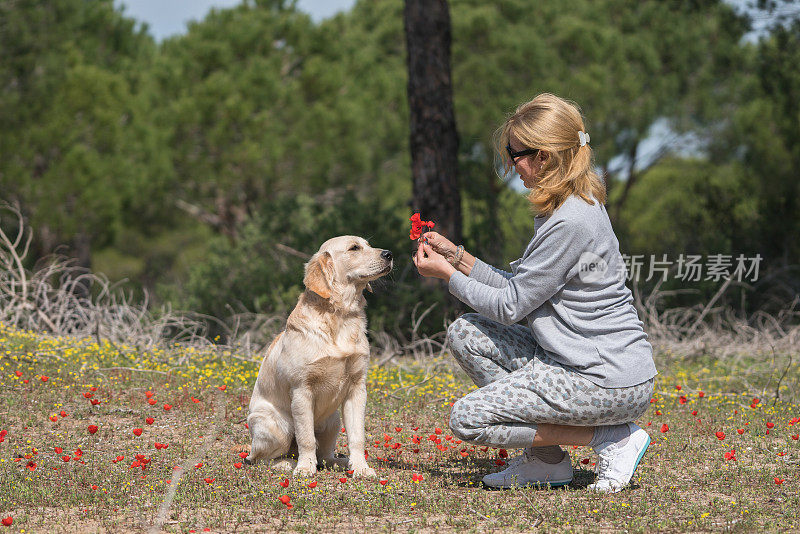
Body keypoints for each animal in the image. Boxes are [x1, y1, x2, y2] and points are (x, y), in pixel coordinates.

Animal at [245, 237, 392, 480]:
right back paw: (288, 463)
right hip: (276, 426)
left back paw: (341, 462)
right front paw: (305, 468)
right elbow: (305, 438)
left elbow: (357, 437)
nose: (389, 254)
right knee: (260, 459)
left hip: (333, 421)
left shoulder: (357, 389)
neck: (341, 315)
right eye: (354, 248)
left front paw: (361, 468)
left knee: (325, 456)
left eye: (368, 245)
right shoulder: (302, 390)